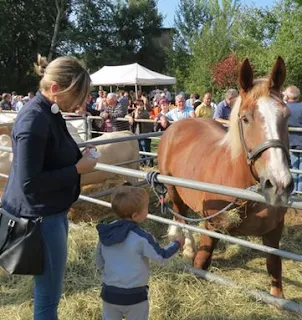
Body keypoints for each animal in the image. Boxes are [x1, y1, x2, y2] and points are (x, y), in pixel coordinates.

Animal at [157, 55, 294, 298]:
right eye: (245, 118)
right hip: (172, 189)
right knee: (181, 217)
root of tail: (178, 123)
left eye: (286, 116)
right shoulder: (210, 228)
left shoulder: (273, 234)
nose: (279, 185)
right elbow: (201, 263)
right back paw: (187, 246)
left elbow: (275, 273)